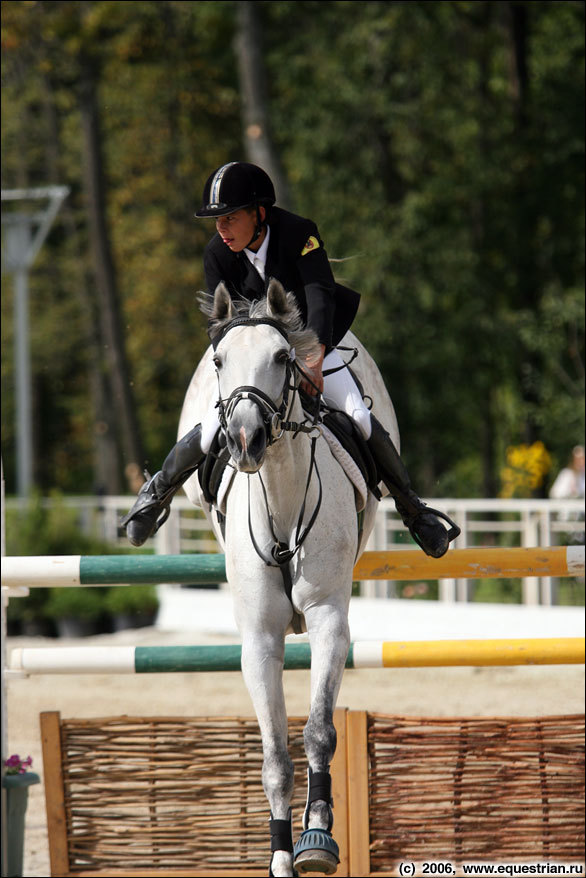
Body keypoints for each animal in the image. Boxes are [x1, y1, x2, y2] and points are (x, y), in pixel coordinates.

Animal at [178, 280, 396, 872]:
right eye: (221, 361)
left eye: (282, 357)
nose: (245, 440)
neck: (280, 498)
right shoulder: (259, 639)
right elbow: (274, 756)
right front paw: (278, 855)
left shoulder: (327, 620)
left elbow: (319, 730)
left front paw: (316, 836)